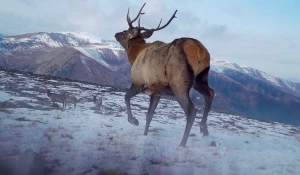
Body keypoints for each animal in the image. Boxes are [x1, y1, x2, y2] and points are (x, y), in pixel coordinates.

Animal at [113, 3, 214, 147]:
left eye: (125, 32)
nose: (116, 34)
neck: (134, 56)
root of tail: (200, 50)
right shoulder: (157, 92)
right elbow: (149, 115)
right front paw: (145, 134)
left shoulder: (139, 82)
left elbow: (126, 97)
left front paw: (134, 120)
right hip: (200, 78)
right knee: (210, 93)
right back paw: (204, 129)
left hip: (179, 84)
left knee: (192, 111)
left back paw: (182, 143)